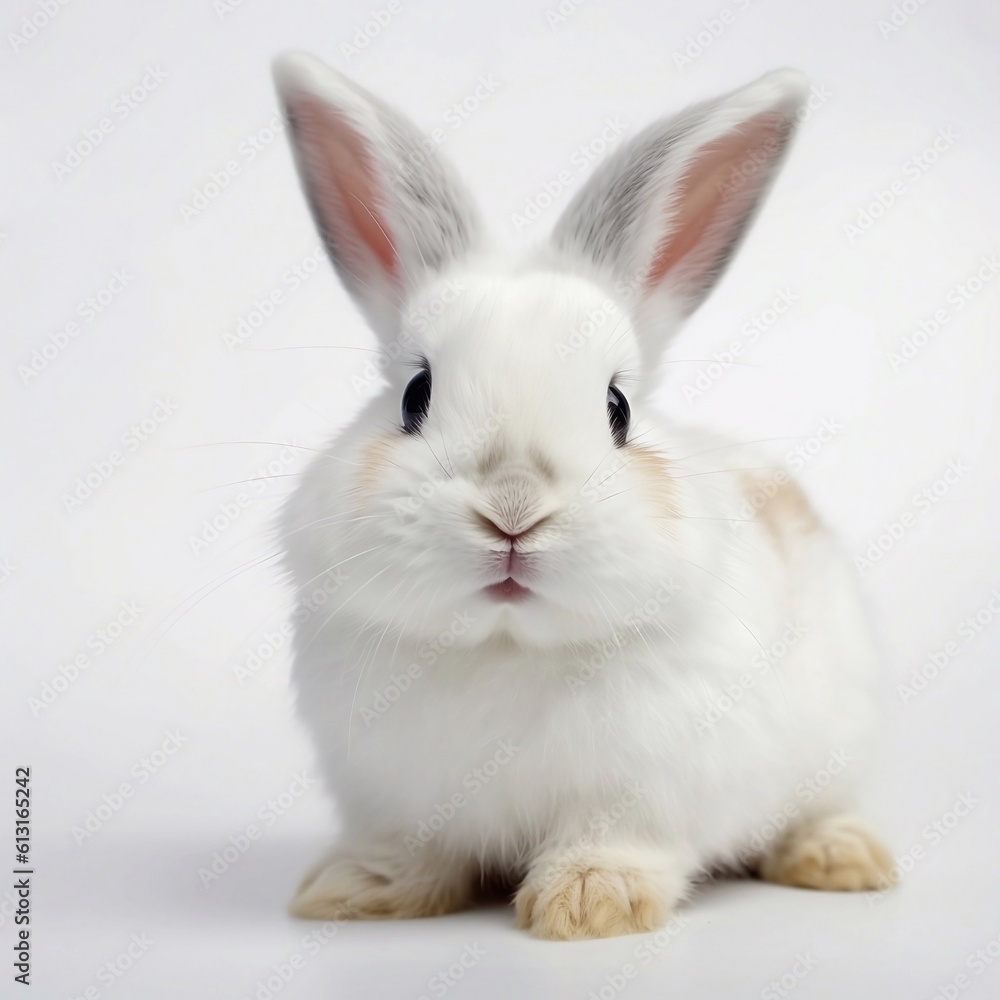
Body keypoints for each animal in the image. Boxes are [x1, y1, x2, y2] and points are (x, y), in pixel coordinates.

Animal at [271, 51, 895, 940]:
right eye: (415, 396)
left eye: (617, 408)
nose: (513, 509)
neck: (507, 648)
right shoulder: (390, 798)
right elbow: (408, 850)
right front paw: (355, 890)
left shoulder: (646, 793)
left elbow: (616, 840)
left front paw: (589, 904)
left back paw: (840, 860)